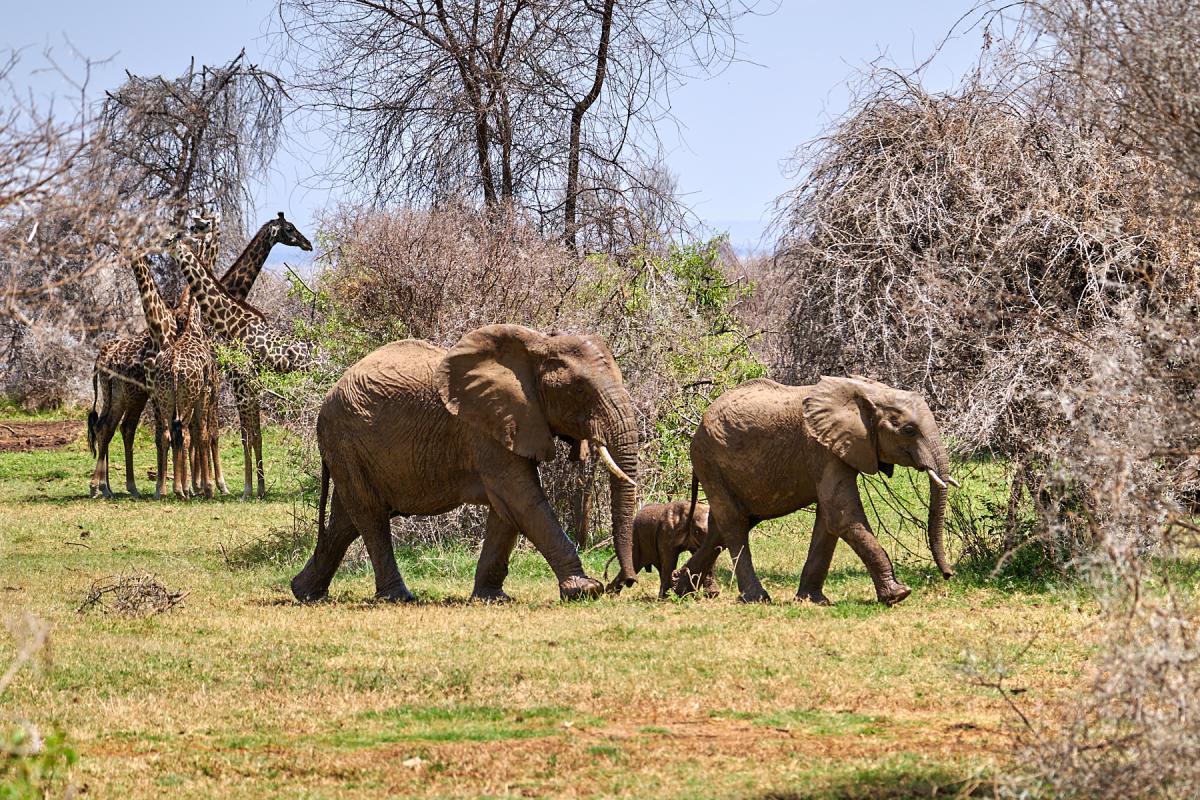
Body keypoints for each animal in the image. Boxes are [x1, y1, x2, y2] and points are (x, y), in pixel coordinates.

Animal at [291, 323, 643, 599]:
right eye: (579, 390)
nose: (621, 582)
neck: (537, 346)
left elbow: (507, 511)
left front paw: (493, 598)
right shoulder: (486, 430)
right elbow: (522, 500)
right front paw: (585, 590)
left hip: (352, 449)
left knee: (345, 520)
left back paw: (305, 593)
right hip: (344, 439)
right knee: (370, 515)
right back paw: (397, 597)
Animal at [672, 379, 960, 604]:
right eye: (909, 430)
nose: (949, 575)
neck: (869, 392)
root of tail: (698, 427)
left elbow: (829, 521)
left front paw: (813, 601)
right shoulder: (822, 449)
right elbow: (841, 516)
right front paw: (899, 595)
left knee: (721, 529)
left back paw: (678, 590)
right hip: (710, 461)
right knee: (734, 524)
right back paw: (756, 599)